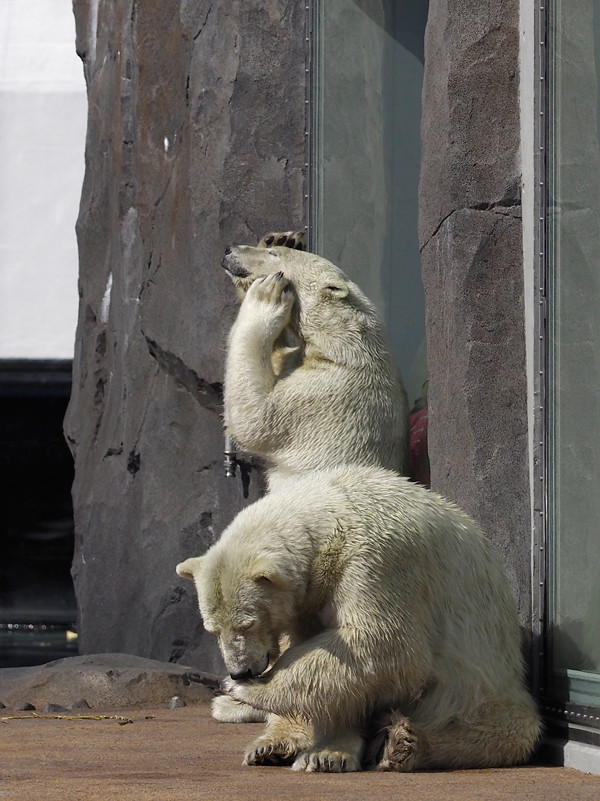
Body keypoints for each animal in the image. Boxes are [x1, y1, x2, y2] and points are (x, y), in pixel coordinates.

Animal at [176, 466, 540, 772]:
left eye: (247, 623)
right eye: (213, 629)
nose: (240, 671)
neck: (333, 514)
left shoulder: (379, 560)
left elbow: (383, 644)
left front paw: (253, 691)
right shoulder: (310, 598)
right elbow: (335, 671)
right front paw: (322, 751)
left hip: (481, 689)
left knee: (496, 729)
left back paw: (402, 745)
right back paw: (270, 744)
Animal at [223, 238, 410, 488]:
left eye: (273, 254)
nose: (229, 250)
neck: (340, 343)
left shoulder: (324, 393)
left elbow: (255, 418)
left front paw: (267, 295)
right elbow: (277, 359)